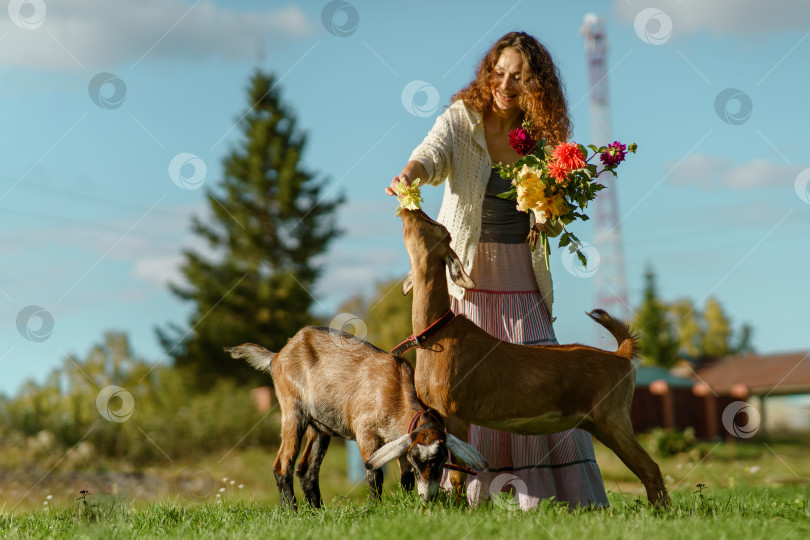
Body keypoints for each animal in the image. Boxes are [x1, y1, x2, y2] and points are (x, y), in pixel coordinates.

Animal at [224, 326, 482, 508]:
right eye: (420, 460)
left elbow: (406, 477)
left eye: (439, 460)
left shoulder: (398, 440)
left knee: (307, 470)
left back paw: (317, 512)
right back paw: (292, 512)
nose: (427, 497)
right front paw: (375, 508)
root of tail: (278, 355)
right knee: (282, 465)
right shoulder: (366, 432)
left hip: (320, 428)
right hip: (293, 411)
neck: (395, 390)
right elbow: (374, 473)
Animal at [400, 209, 668, 508]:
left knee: (650, 468)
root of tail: (621, 356)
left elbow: (458, 473)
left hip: (613, 416)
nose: (409, 210)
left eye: (439, 227)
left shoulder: (454, 412)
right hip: (599, 422)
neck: (438, 334)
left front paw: (459, 509)